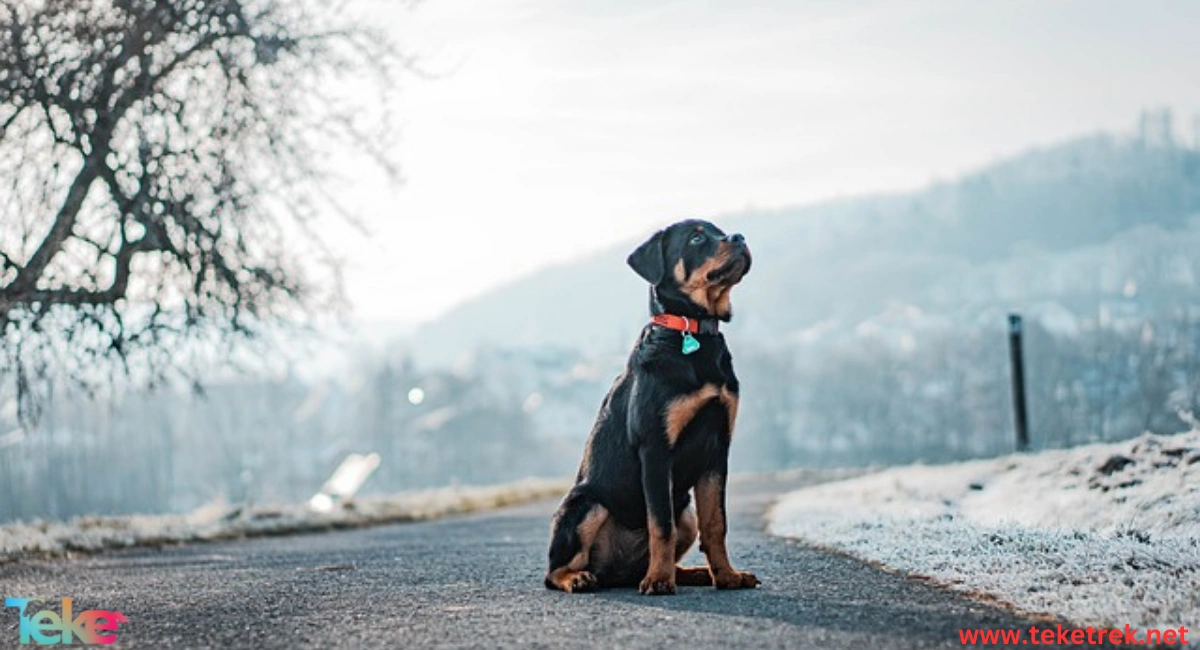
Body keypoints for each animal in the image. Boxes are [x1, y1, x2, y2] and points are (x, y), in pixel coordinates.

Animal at [547, 219, 758, 597]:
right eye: (697, 237)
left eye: (720, 230)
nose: (739, 237)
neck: (693, 333)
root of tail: (614, 572)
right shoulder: (656, 448)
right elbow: (660, 525)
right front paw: (659, 581)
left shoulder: (717, 448)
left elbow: (715, 523)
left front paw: (727, 576)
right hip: (586, 504)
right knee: (554, 571)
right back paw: (580, 578)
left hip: (685, 511)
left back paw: (693, 573)